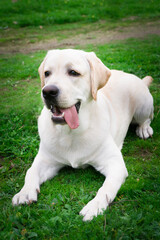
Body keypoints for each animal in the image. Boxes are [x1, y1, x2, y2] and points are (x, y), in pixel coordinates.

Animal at [11, 48, 154, 221]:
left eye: (73, 72)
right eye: (47, 73)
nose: (48, 91)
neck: (70, 133)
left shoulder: (115, 164)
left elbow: (106, 188)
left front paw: (95, 206)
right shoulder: (46, 160)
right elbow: (30, 171)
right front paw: (24, 192)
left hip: (142, 105)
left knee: (147, 118)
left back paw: (144, 129)